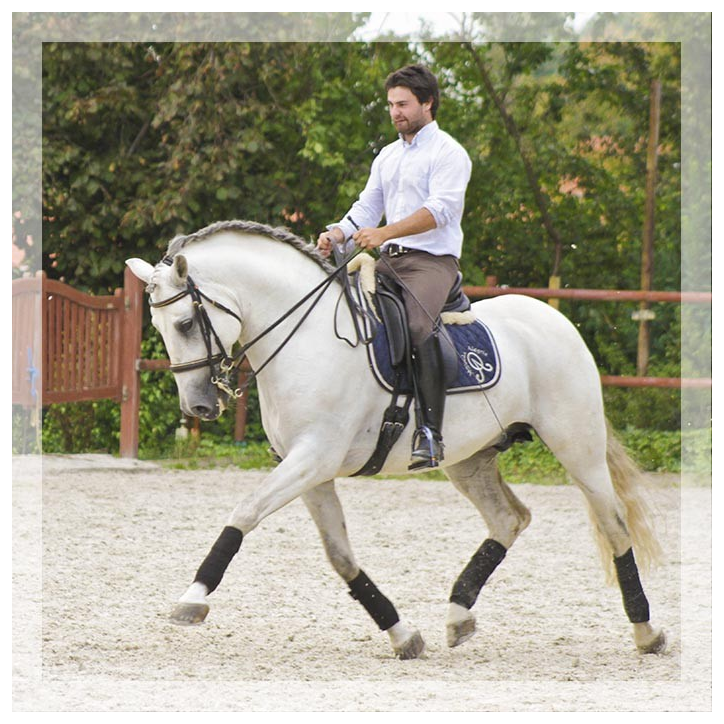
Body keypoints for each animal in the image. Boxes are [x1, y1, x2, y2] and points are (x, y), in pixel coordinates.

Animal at [126, 219, 667, 660]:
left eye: (186, 323)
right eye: (157, 325)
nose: (198, 407)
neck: (305, 339)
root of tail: (553, 318)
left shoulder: (313, 457)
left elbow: (244, 512)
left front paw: (193, 598)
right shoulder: (310, 470)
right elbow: (340, 556)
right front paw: (403, 635)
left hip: (576, 446)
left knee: (614, 525)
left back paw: (647, 632)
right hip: (469, 459)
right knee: (509, 519)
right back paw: (458, 615)